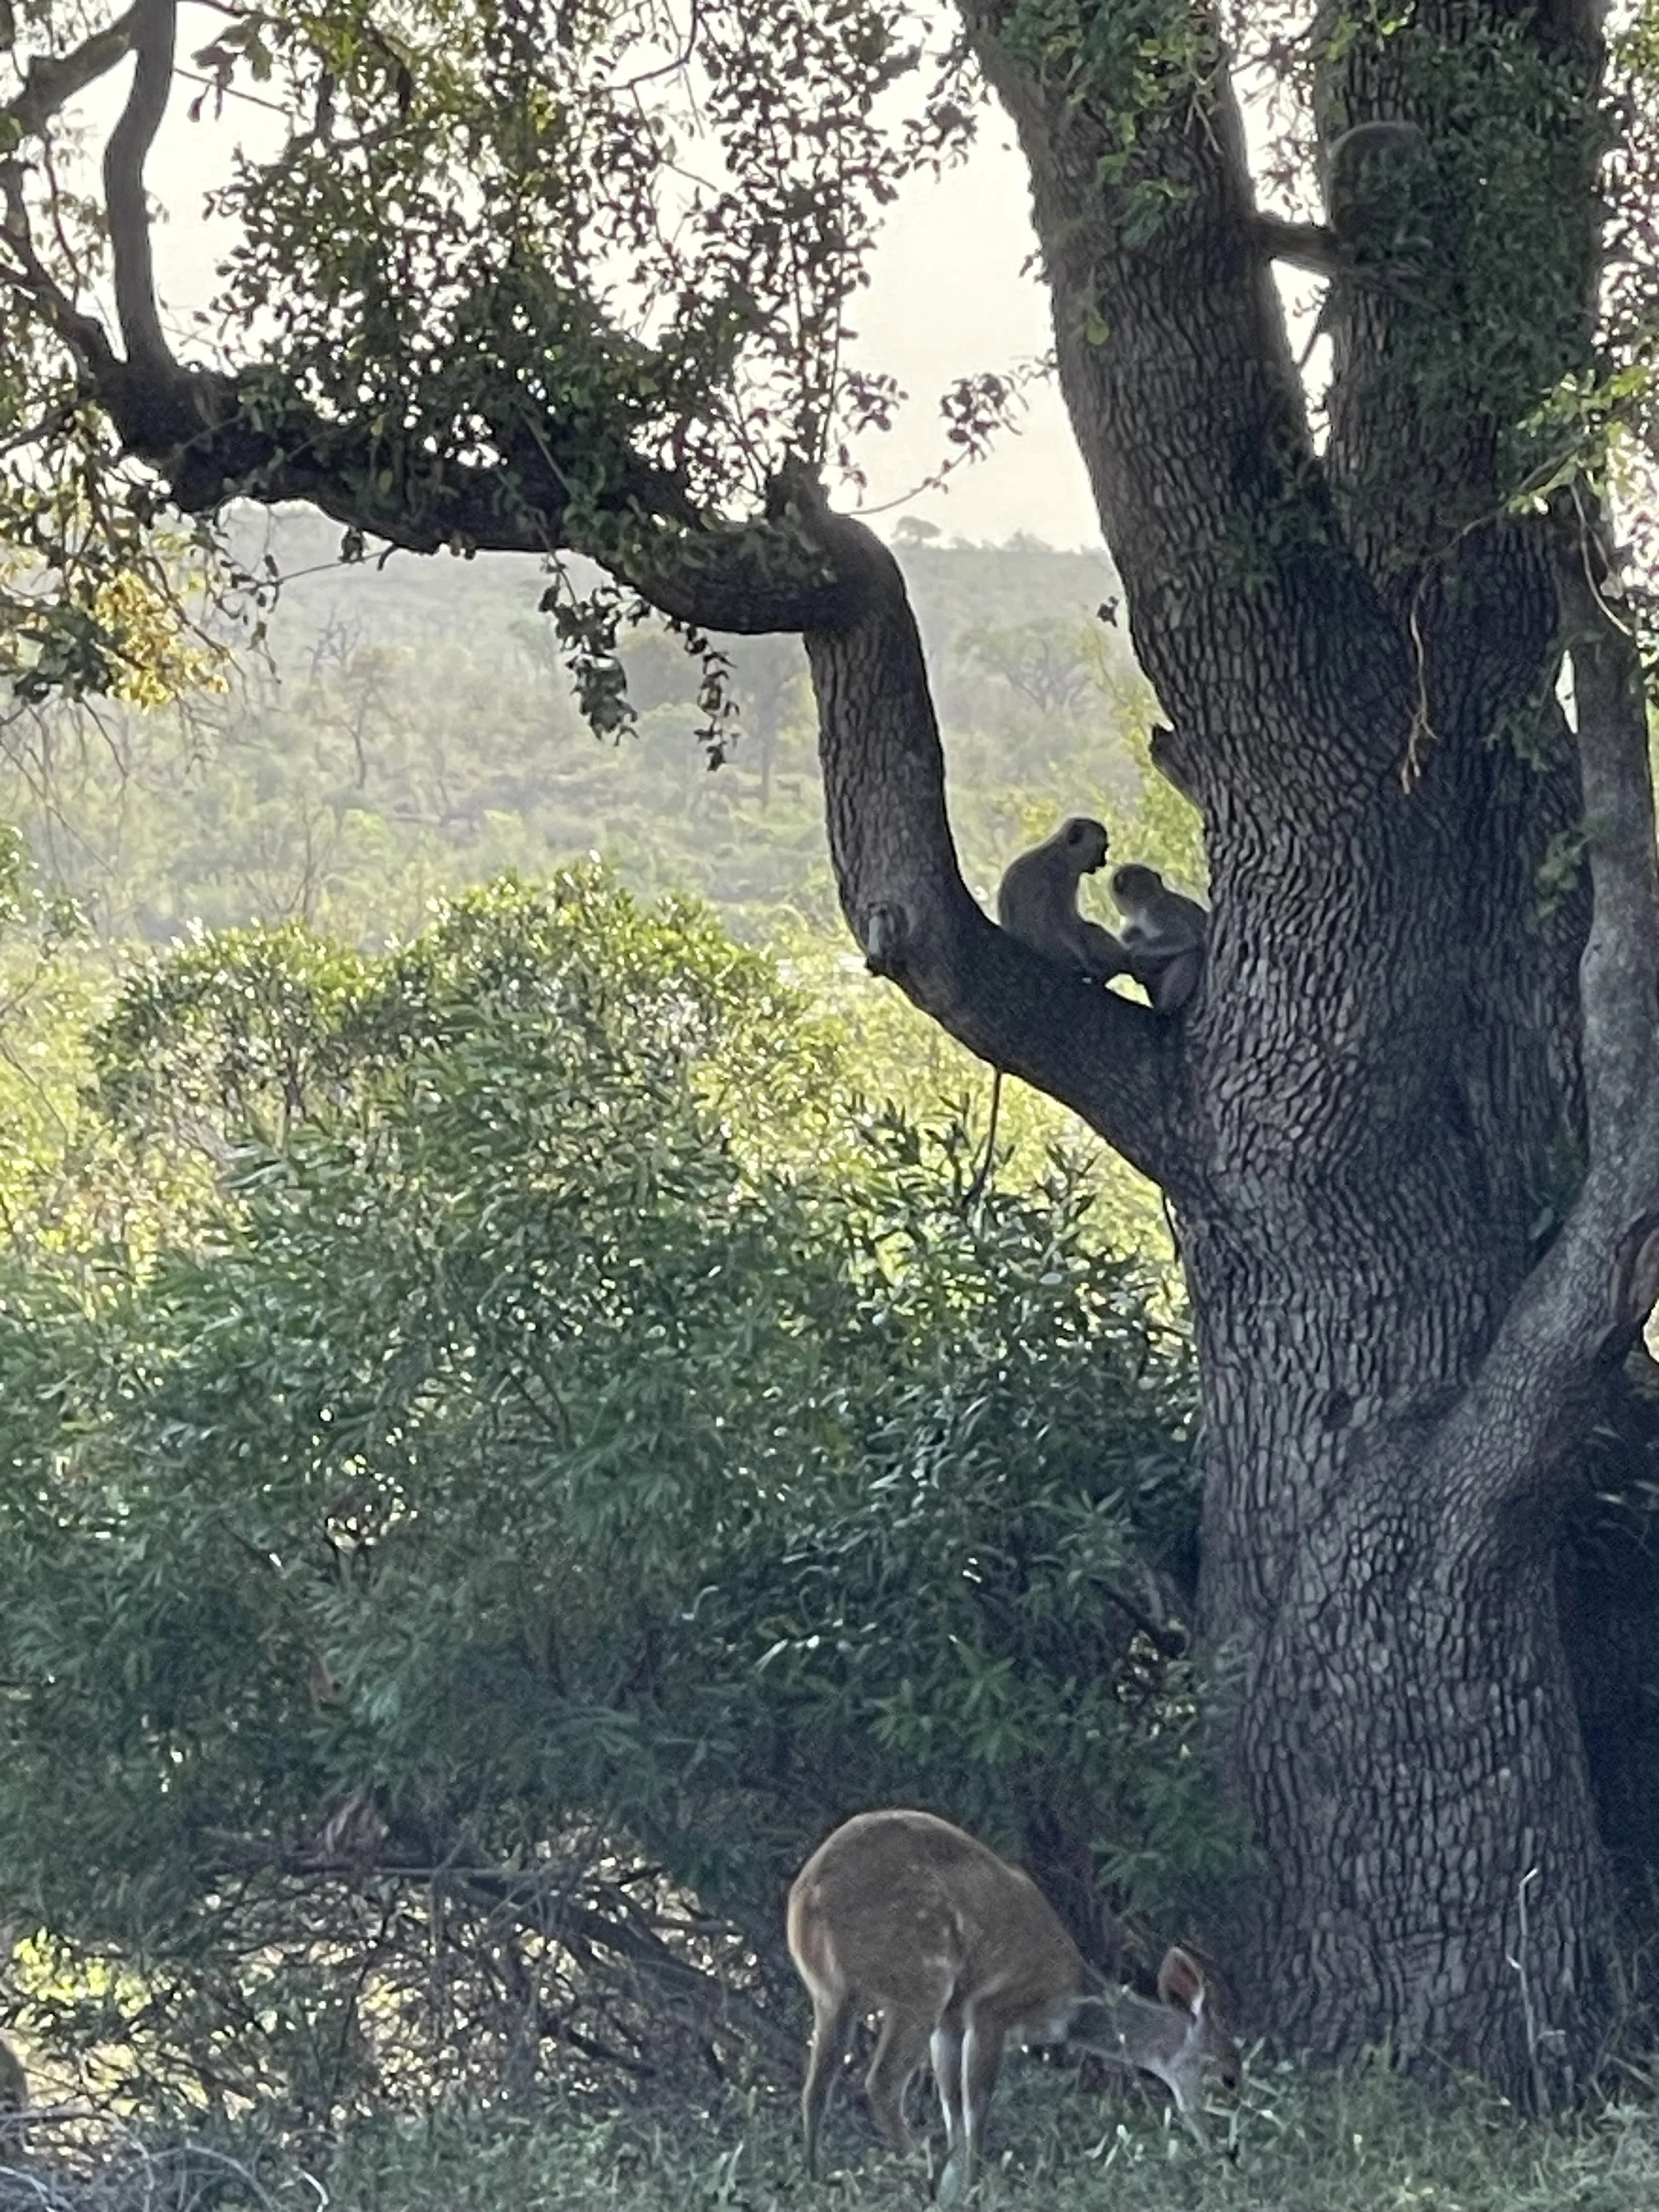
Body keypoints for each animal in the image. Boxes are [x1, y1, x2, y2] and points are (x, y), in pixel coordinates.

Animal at [1110, 864, 1208, 1013]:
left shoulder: (1158, 910)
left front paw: (1134, 952)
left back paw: (1167, 1007)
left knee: (1192, 955)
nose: (1119, 910)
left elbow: (1183, 937)